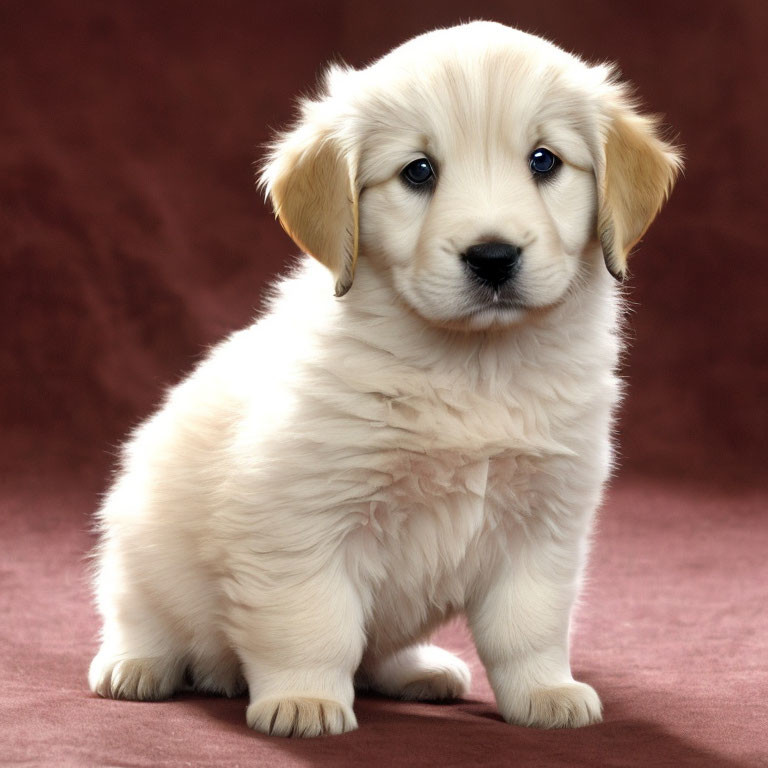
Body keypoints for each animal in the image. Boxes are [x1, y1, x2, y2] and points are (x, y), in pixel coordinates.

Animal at [87, 21, 680, 736]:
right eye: (418, 171)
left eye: (544, 161)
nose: (492, 257)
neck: (473, 369)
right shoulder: (301, 519)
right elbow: (314, 624)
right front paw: (305, 699)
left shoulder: (545, 523)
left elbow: (528, 627)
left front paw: (546, 692)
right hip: (136, 537)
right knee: (140, 616)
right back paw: (135, 666)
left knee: (378, 655)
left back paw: (419, 670)